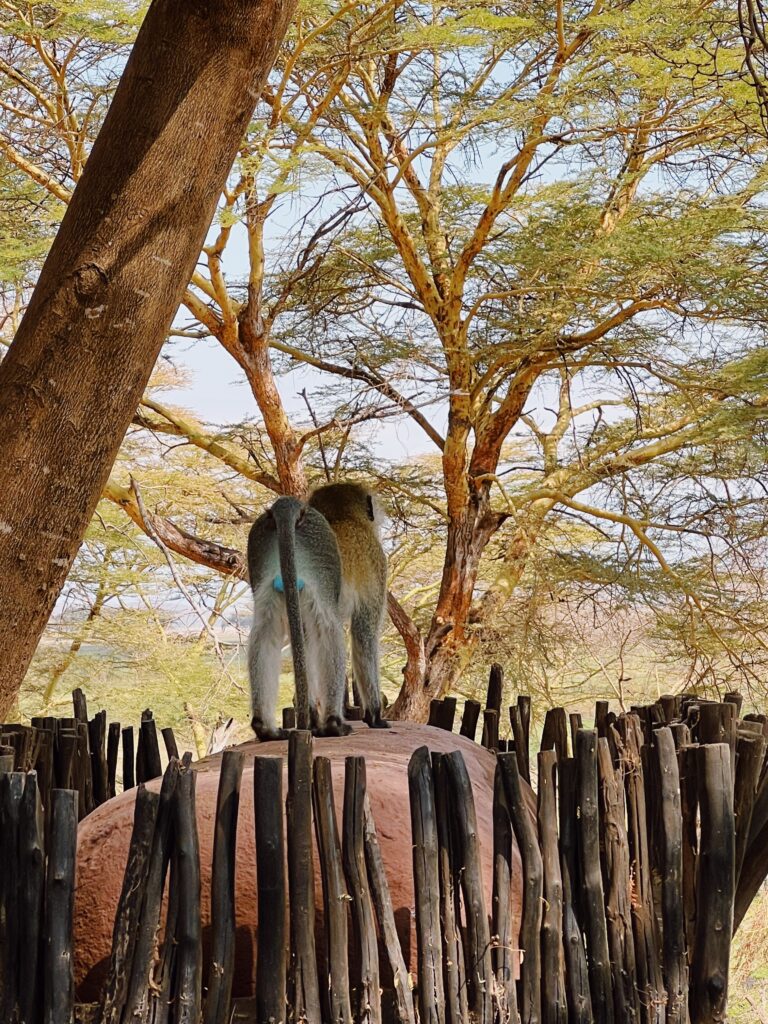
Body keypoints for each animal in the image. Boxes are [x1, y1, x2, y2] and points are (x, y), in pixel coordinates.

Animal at [247, 495, 350, 741]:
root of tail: (286, 503)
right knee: (328, 627)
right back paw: (332, 724)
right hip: (320, 549)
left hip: (259, 550)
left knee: (264, 632)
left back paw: (265, 728)